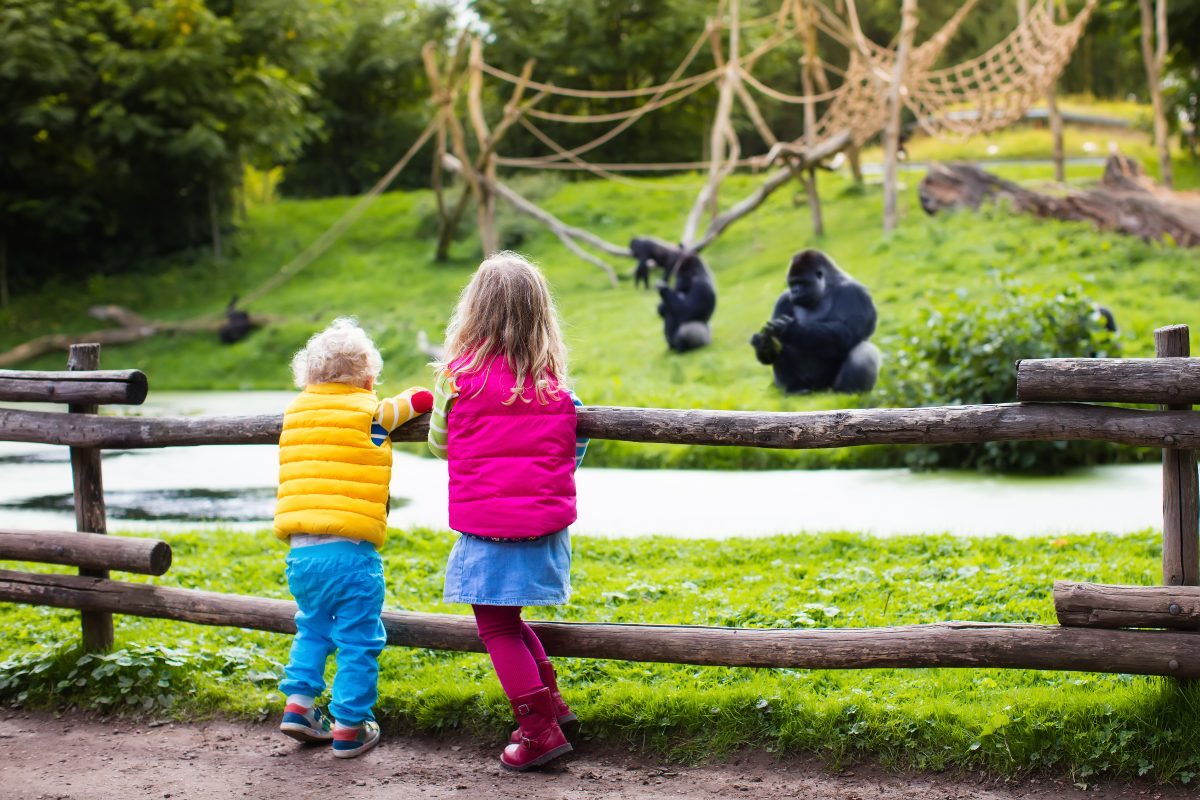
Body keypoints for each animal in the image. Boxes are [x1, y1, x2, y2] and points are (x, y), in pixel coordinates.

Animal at [748, 247, 883, 391]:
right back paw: (795, 390)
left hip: (830, 388)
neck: (827, 286)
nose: (794, 291)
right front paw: (763, 344)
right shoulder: (783, 299)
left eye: (801, 282)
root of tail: (818, 390)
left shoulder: (855, 292)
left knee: (863, 351)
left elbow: (848, 333)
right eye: (792, 283)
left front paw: (789, 329)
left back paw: (850, 392)